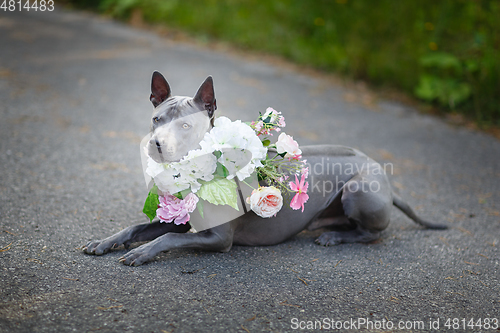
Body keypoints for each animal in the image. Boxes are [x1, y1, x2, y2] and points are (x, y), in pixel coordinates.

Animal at [84, 71, 448, 266]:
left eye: (186, 126)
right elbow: (136, 227)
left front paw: (142, 252)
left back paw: (334, 237)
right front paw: (106, 241)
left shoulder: (217, 238)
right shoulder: (180, 220)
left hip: (359, 191)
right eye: (156, 119)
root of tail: (385, 180)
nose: (156, 144)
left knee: (372, 233)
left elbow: (167, 239)